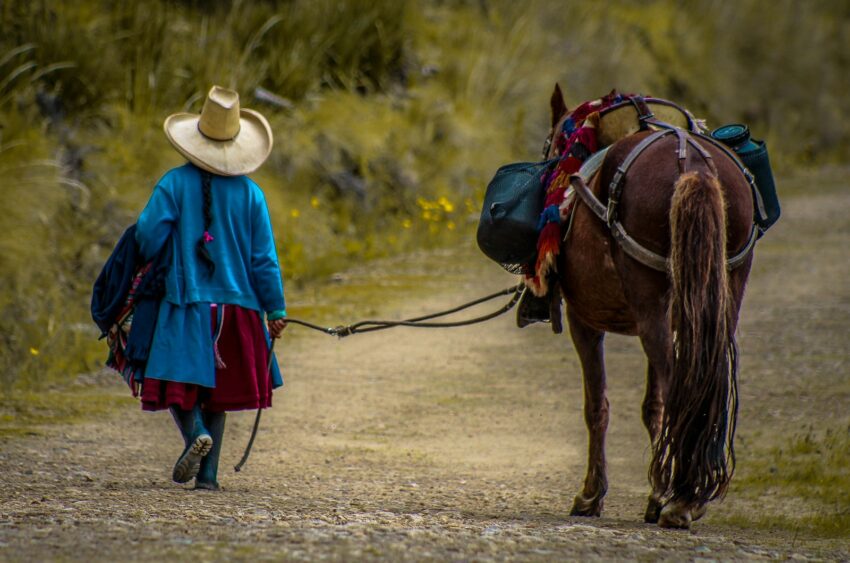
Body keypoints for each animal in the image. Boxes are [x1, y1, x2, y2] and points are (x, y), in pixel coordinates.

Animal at [548, 85, 760, 528]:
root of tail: (692, 164)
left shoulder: (584, 322)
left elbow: (597, 406)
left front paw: (591, 495)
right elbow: (653, 406)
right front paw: (654, 490)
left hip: (648, 307)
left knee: (678, 382)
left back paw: (678, 500)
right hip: (722, 295)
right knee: (705, 380)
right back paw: (689, 495)